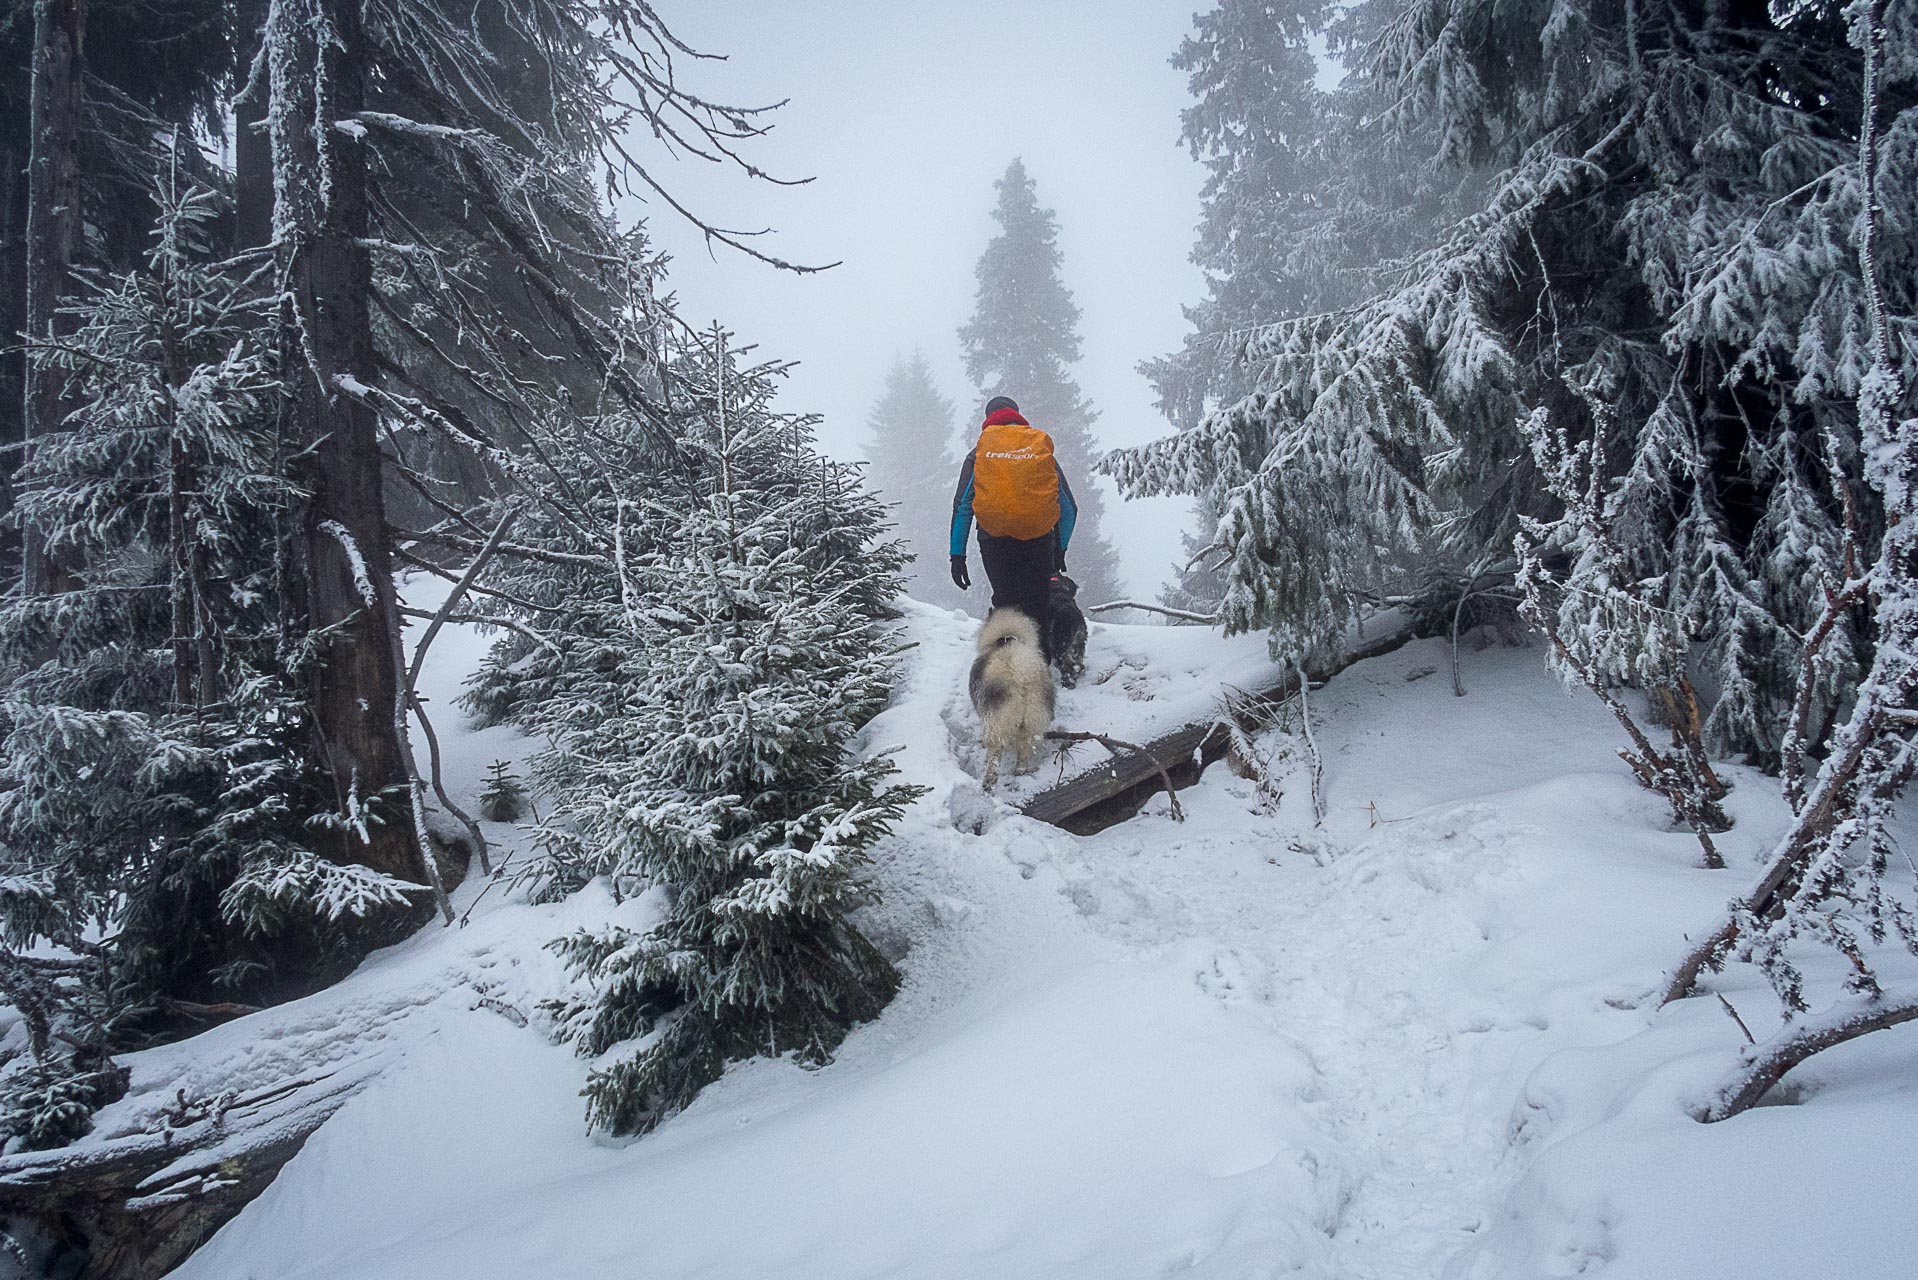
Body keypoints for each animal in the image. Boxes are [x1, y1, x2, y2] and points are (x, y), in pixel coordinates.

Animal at [966, 610, 1058, 790]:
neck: (1003, 639)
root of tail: (1021, 676)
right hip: (1032, 721)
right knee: (1025, 748)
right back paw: (1020, 770)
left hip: (996, 721)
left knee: (995, 754)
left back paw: (989, 781)